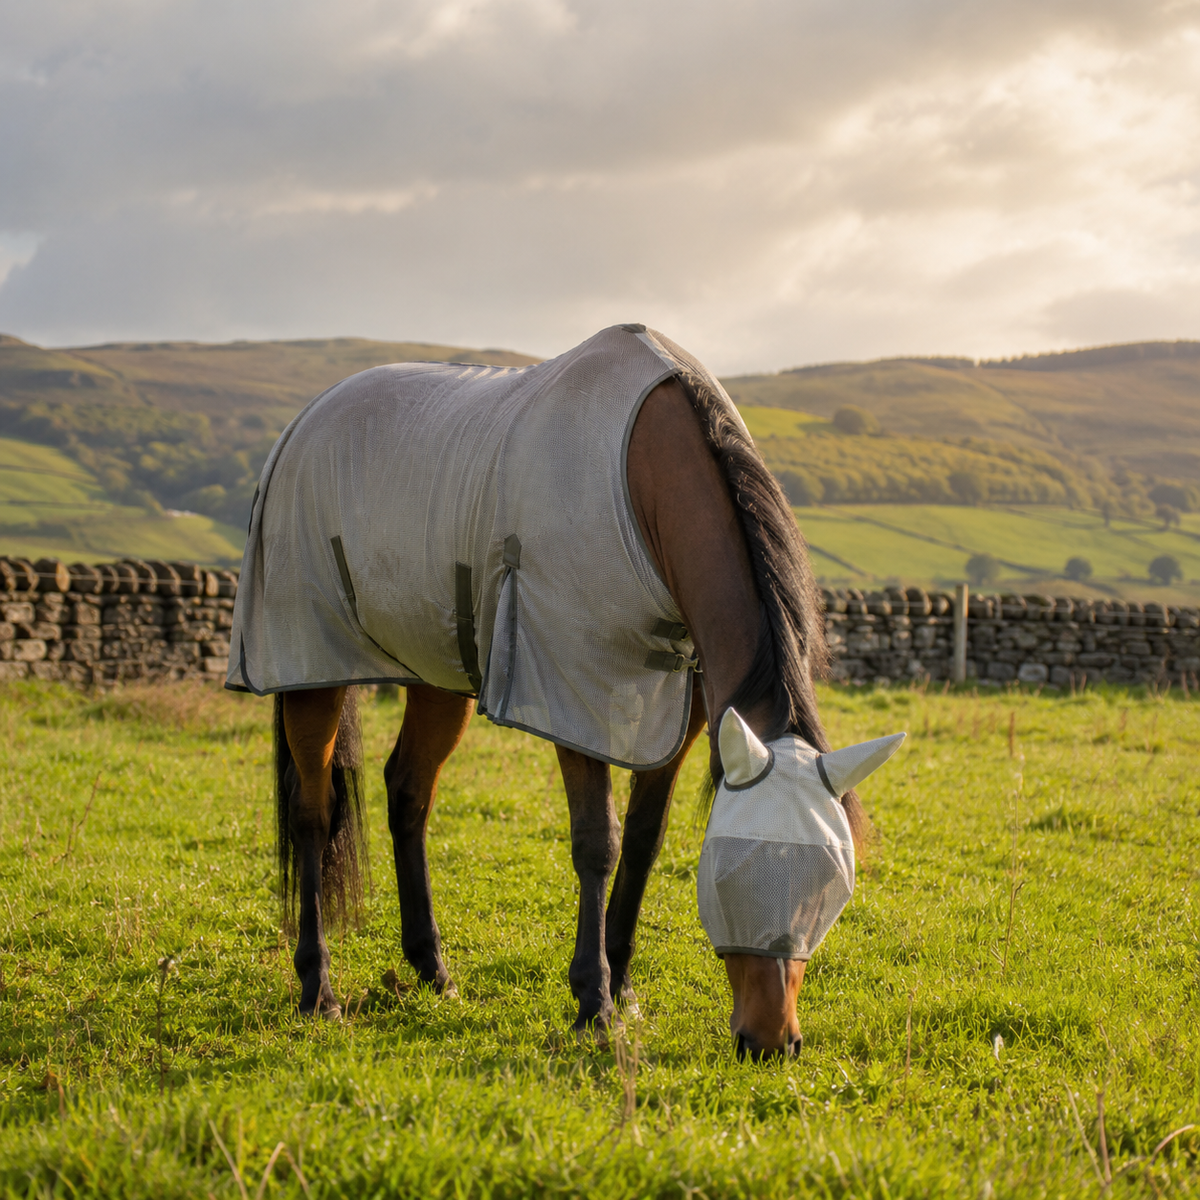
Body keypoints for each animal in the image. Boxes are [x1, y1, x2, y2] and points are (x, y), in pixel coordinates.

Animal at [230, 325, 868, 1060]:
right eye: (737, 868)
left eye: (832, 883)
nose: (772, 1041)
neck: (641, 477)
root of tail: (304, 423)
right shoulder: (574, 690)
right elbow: (598, 842)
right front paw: (593, 1000)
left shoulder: (684, 713)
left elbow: (644, 840)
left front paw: (622, 984)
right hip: (312, 668)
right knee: (312, 810)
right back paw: (319, 989)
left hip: (437, 672)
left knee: (408, 792)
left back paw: (432, 969)